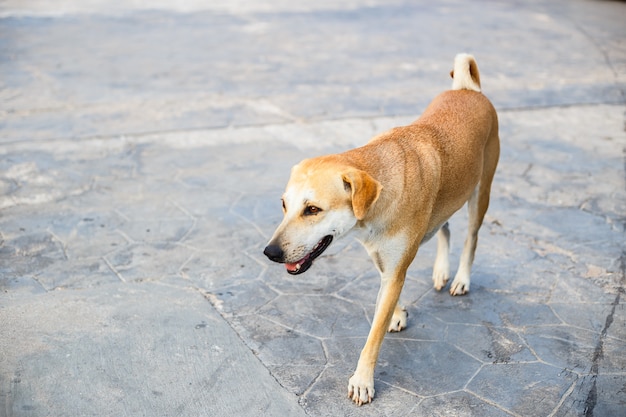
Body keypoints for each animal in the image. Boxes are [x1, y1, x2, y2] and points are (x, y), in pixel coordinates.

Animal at [262, 53, 498, 404]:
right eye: (283, 204)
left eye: (313, 209)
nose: (271, 252)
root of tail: (468, 90)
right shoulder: (382, 257)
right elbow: (385, 300)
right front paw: (396, 313)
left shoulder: (396, 265)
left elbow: (373, 337)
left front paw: (363, 380)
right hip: (446, 198)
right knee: (444, 228)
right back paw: (441, 270)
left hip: (479, 194)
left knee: (471, 236)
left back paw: (461, 279)